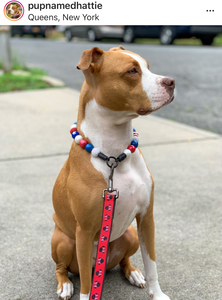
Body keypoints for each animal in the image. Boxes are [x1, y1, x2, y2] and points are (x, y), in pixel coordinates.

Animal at [51, 45, 174, 300]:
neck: (113, 156)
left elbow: (152, 265)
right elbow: (87, 285)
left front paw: (157, 294)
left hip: (130, 234)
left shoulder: (146, 218)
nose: (171, 82)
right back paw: (65, 284)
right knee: (63, 268)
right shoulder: (85, 231)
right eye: (131, 71)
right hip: (64, 241)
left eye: (147, 67)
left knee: (124, 261)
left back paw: (133, 273)